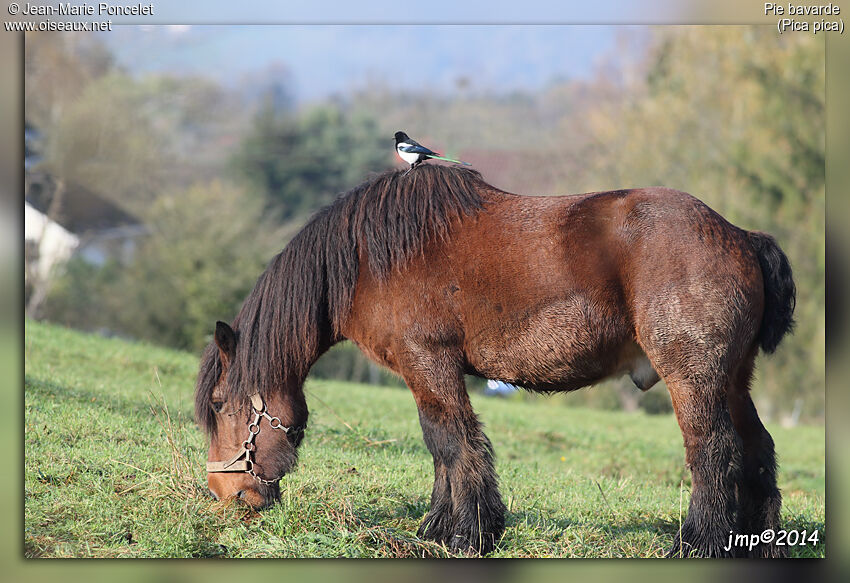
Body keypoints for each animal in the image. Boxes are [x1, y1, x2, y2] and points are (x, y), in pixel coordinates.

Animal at [195, 163, 792, 556]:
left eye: (220, 404)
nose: (226, 495)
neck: (371, 258)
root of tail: (741, 235)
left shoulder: (429, 364)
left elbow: (451, 441)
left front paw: (468, 533)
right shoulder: (428, 374)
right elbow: (443, 448)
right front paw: (438, 529)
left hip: (693, 380)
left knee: (712, 451)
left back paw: (698, 543)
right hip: (732, 382)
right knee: (756, 449)